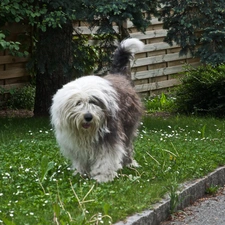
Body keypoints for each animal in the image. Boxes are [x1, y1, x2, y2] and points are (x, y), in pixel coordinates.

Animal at [51, 38, 144, 183]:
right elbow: (81, 158)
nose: (88, 117)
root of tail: (119, 75)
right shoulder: (75, 142)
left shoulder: (109, 136)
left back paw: (129, 163)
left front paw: (102, 176)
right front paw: (81, 173)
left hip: (128, 125)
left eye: (93, 102)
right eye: (78, 103)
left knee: (128, 146)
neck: (86, 132)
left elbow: (106, 158)